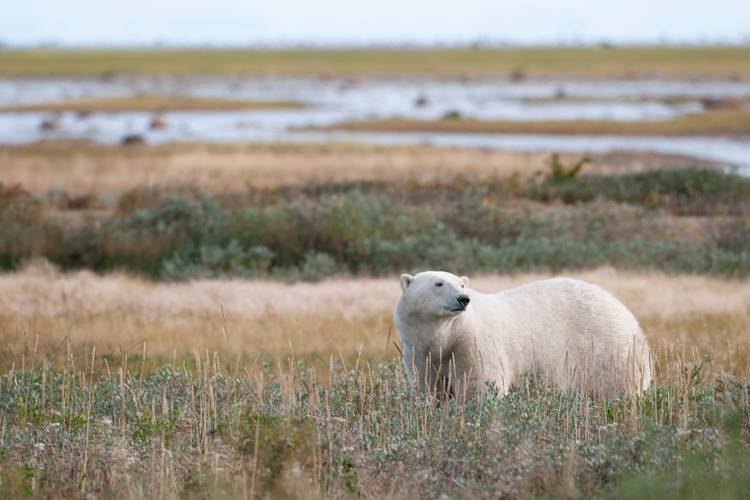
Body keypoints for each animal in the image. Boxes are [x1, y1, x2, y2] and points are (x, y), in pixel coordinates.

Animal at [394, 271, 652, 400]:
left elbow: (481, 385)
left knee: (617, 385)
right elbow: (428, 386)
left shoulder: (474, 345)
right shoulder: (420, 352)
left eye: (462, 284)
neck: (448, 336)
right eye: (438, 283)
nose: (463, 299)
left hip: (607, 349)